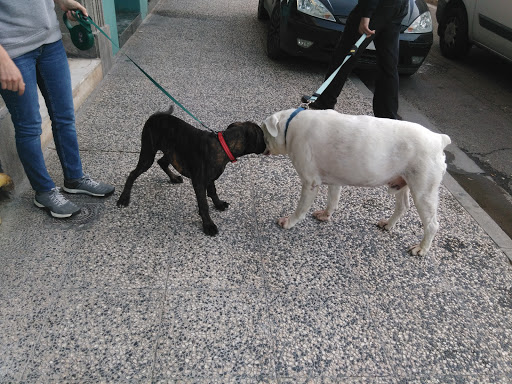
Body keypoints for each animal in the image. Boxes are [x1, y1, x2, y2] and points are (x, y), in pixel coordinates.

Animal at [117, 106, 266, 236]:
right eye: (262, 136)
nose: (266, 145)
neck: (224, 145)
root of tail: (155, 116)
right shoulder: (199, 182)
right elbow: (204, 204)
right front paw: (208, 225)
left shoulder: (210, 179)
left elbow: (213, 192)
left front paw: (218, 204)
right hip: (148, 155)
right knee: (133, 173)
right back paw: (124, 198)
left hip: (171, 152)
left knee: (161, 162)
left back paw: (173, 178)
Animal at [262, 107, 450, 255]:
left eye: (263, 132)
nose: (260, 146)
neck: (290, 125)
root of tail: (439, 139)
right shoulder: (335, 179)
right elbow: (333, 200)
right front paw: (325, 215)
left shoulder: (310, 183)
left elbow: (301, 209)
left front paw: (289, 222)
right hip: (402, 182)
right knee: (402, 206)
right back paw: (388, 224)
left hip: (424, 192)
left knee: (432, 224)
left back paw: (422, 248)